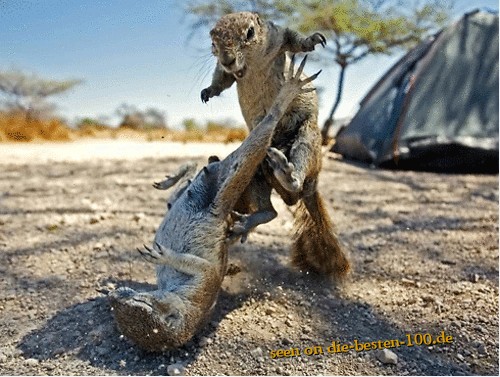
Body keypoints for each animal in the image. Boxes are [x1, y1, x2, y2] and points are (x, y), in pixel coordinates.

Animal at [109, 55, 320, 350]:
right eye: (123, 304)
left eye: (141, 303)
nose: (114, 296)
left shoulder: (203, 286)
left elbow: (203, 268)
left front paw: (166, 255)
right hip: (220, 184)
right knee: (194, 181)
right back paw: (183, 176)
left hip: (230, 181)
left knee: (256, 142)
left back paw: (283, 101)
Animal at [201, 11, 350, 278]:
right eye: (213, 40)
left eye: (249, 32)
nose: (228, 59)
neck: (251, 62)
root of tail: (310, 188)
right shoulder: (226, 71)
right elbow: (222, 79)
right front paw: (208, 91)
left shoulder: (278, 36)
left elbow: (294, 40)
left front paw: (313, 40)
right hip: (256, 170)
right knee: (270, 210)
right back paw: (247, 221)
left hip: (306, 140)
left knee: (297, 167)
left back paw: (288, 173)